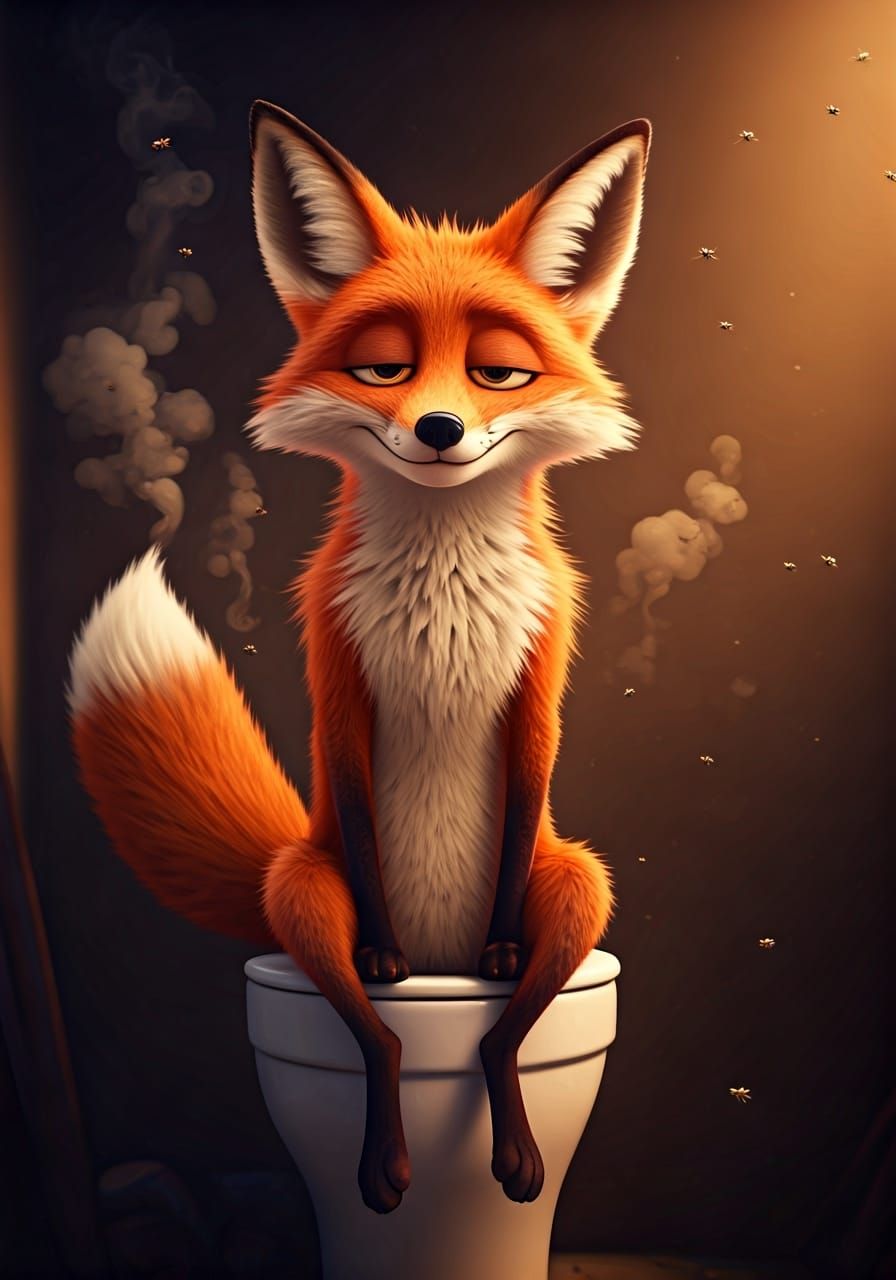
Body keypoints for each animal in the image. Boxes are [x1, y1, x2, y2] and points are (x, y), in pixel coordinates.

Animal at [66, 101, 651, 1215]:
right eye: (384, 368)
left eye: (497, 372)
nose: (438, 428)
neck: (443, 595)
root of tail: (440, 959)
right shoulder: (337, 681)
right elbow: (354, 797)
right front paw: (383, 952)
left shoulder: (538, 687)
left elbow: (527, 786)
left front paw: (498, 947)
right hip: (306, 889)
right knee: (382, 1038)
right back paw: (386, 1161)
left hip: (578, 887)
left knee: (500, 1034)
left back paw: (513, 1148)